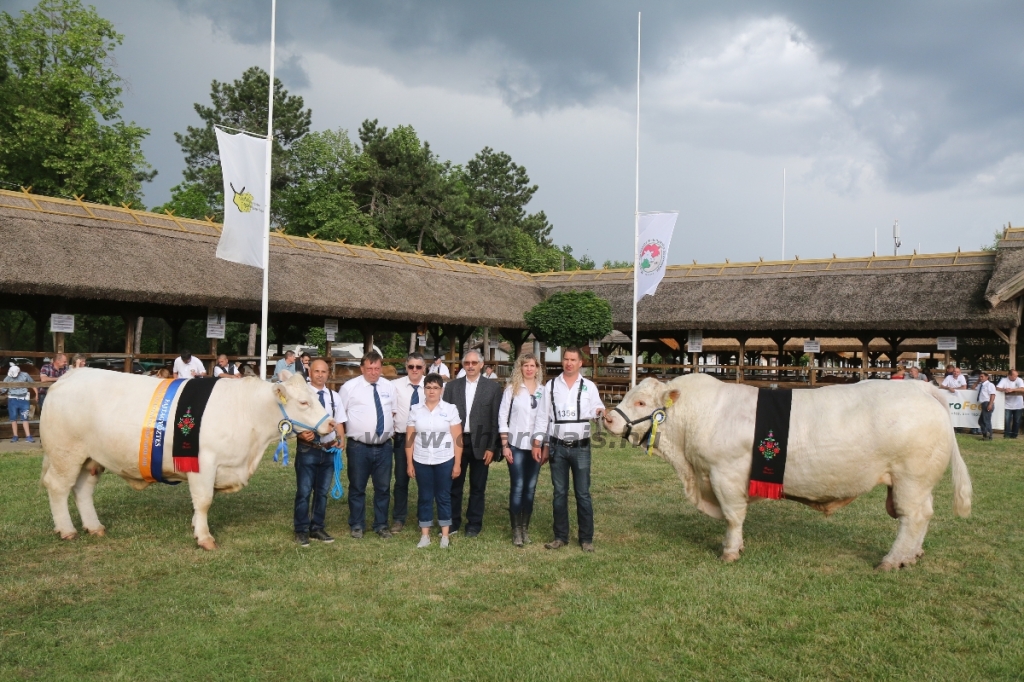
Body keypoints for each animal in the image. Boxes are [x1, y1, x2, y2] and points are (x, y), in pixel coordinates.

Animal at [38, 366, 331, 548]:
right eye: (303, 403)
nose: (330, 424)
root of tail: (70, 375)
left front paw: (195, 527)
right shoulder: (204, 463)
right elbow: (204, 501)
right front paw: (204, 537)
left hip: (91, 459)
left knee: (82, 489)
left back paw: (94, 526)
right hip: (65, 453)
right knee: (58, 487)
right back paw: (67, 530)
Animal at [602, 374, 970, 565]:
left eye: (640, 402)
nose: (606, 417)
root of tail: (919, 386)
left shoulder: (725, 475)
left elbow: (733, 517)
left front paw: (730, 551)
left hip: (911, 478)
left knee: (914, 517)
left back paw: (893, 560)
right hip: (916, 483)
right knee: (922, 516)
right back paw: (912, 554)